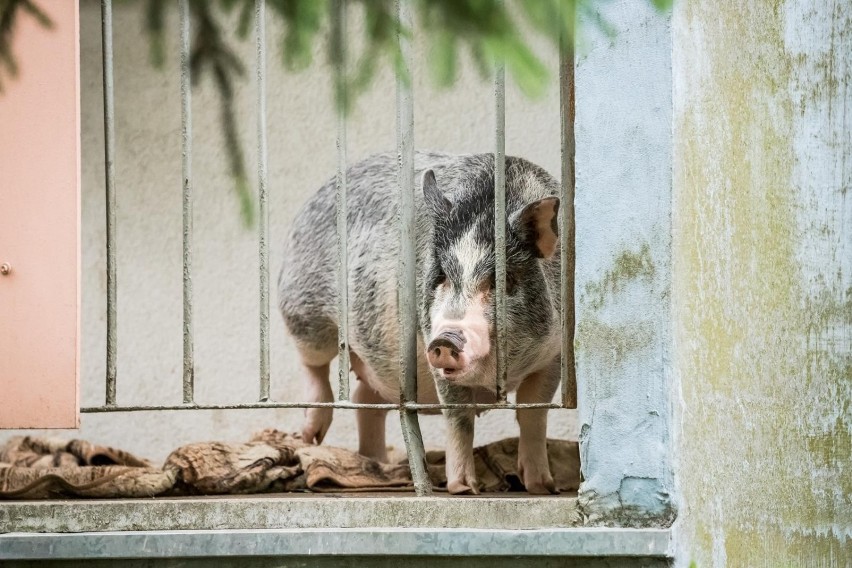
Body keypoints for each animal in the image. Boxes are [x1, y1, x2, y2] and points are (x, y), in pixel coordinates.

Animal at [276, 151, 564, 492]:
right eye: (440, 277)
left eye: (502, 281)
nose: (446, 339)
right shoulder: (431, 343)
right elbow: (460, 418)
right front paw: (463, 488)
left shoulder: (555, 353)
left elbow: (535, 415)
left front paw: (543, 486)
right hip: (305, 312)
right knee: (314, 366)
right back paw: (308, 438)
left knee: (365, 399)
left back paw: (379, 463)